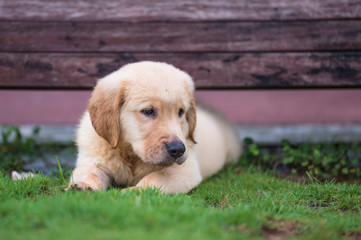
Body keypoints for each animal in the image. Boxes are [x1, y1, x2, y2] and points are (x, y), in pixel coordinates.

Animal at [68, 61, 242, 194]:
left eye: (181, 112)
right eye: (148, 111)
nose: (178, 150)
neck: (131, 155)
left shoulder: (185, 170)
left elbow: (154, 178)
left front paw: (133, 192)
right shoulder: (92, 160)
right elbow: (90, 173)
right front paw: (83, 185)